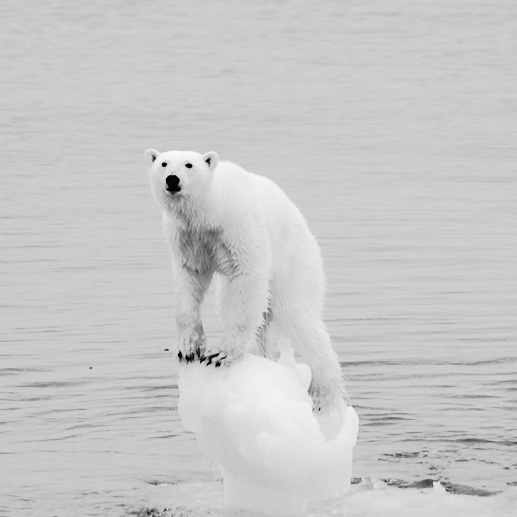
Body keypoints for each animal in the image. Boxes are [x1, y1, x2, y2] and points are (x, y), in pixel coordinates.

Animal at [144, 148, 342, 412]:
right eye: (164, 163)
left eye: (189, 164)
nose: (172, 179)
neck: (210, 212)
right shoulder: (187, 238)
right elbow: (189, 281)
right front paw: (189, 346)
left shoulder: (238, 226)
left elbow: (248, 276)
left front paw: (221, 354)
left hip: (294, 264)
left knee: (298, 316)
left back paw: (322, 393)